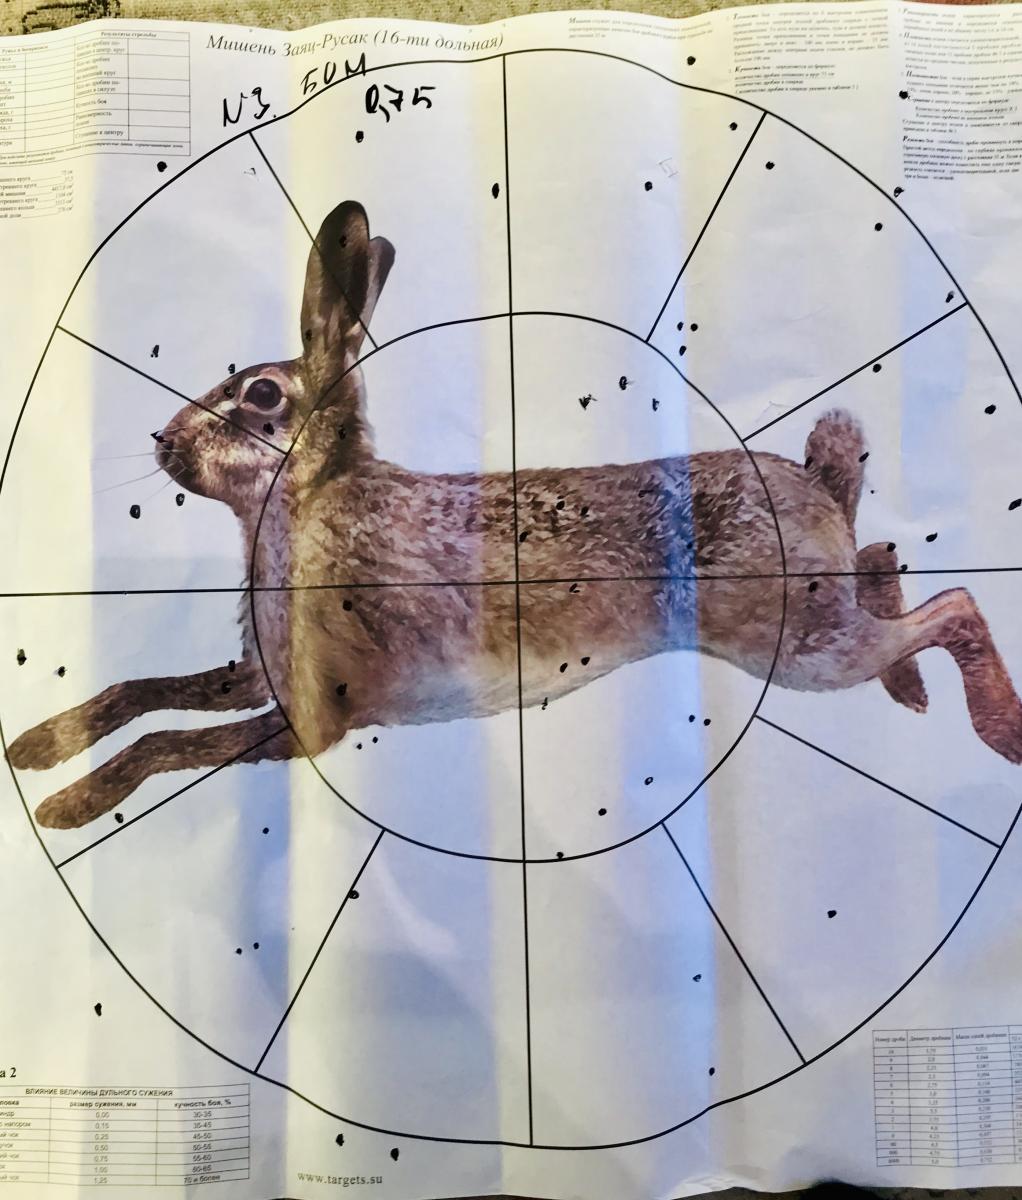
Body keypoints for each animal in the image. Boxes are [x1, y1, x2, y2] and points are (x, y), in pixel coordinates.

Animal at [8, 200, 1022, 830]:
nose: (162, 443)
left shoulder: (310, 715)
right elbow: (142, 692)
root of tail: (818, 480)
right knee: (885, 557)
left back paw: (995, 732)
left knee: (957, 604)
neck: (306, 506)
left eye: (259, 395)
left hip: (794, 642)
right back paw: (913, 691)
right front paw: (33, 747)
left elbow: (172, 739)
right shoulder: (260, 672)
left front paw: (64, 806)